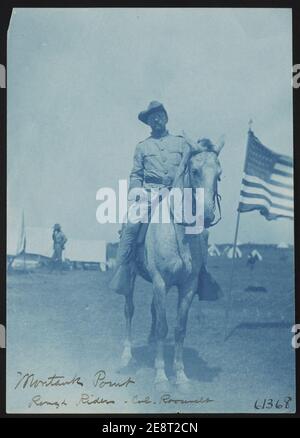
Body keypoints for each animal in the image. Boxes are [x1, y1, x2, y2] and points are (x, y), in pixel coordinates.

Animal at [121, 136, 223, 386]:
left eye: (219, 174)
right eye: (194, 171)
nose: (207, 215)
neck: (179, 231)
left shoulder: (187, 286)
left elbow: (178, 328)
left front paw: (181, 374)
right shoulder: (160, 281)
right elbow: (162, 327)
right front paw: (160, 375)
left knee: (153, 311)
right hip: (131, 277)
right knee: (129, 310)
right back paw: (127, 354)